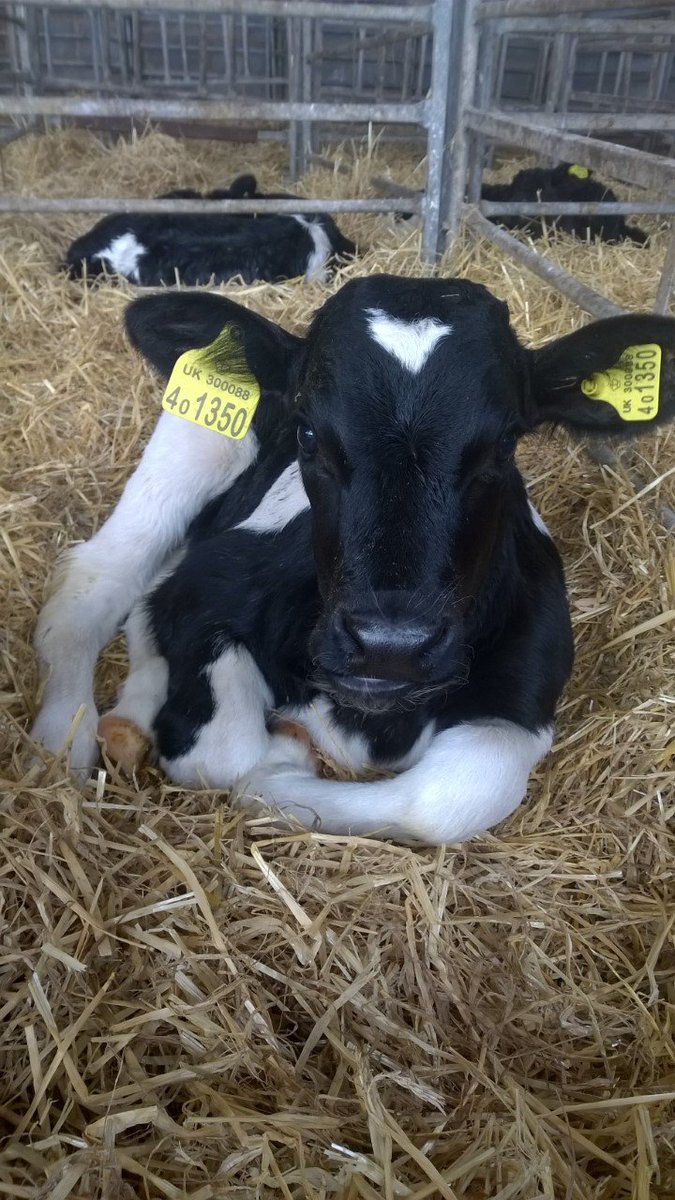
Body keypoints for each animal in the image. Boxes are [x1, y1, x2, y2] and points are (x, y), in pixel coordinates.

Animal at [30, 276, 675, 844]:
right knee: (98, 580)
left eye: (505, 443)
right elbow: (228, 752)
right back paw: (63, 742)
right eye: (308, 432)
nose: (391, 644)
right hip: (192, 442)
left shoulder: (529, 683)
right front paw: (280, 752)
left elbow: (451, 795)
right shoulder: (204, 585)